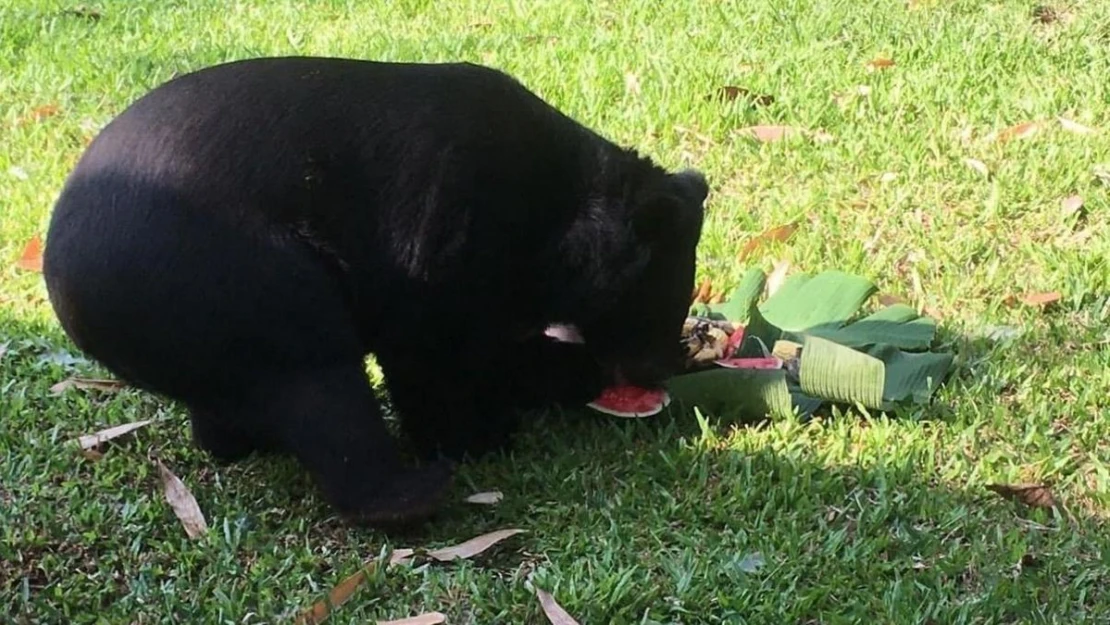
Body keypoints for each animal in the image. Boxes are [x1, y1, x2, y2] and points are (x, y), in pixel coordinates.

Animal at [43, 57, 705, 528]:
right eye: (660, 303)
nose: (660, 369)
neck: (559, 210)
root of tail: (66, 278)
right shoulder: (444, 247)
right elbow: (437, 357)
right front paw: (484, 436)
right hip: (234, 276)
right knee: (319, 382)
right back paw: (411, 496)